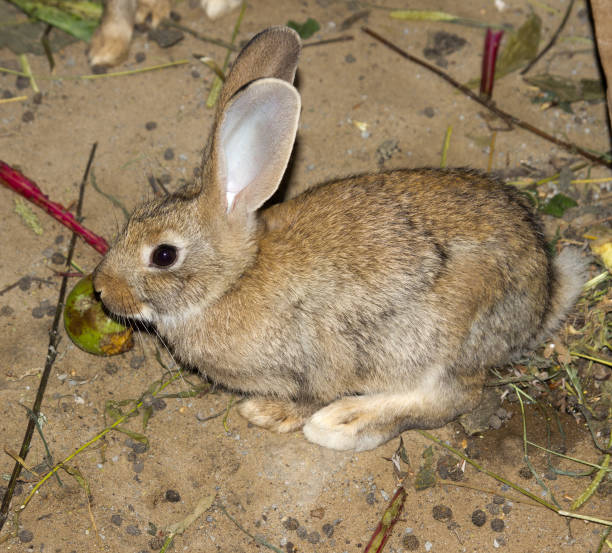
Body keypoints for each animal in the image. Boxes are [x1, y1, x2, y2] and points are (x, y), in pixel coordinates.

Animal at [92, 25, 588, 450]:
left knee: (454, 398)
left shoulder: (317, 361)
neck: (233, 279)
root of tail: (543, 294)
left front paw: (270, 412)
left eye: (163, 255)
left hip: (447, 335)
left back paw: (346, 423)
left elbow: (309, 395)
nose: (101, 289)